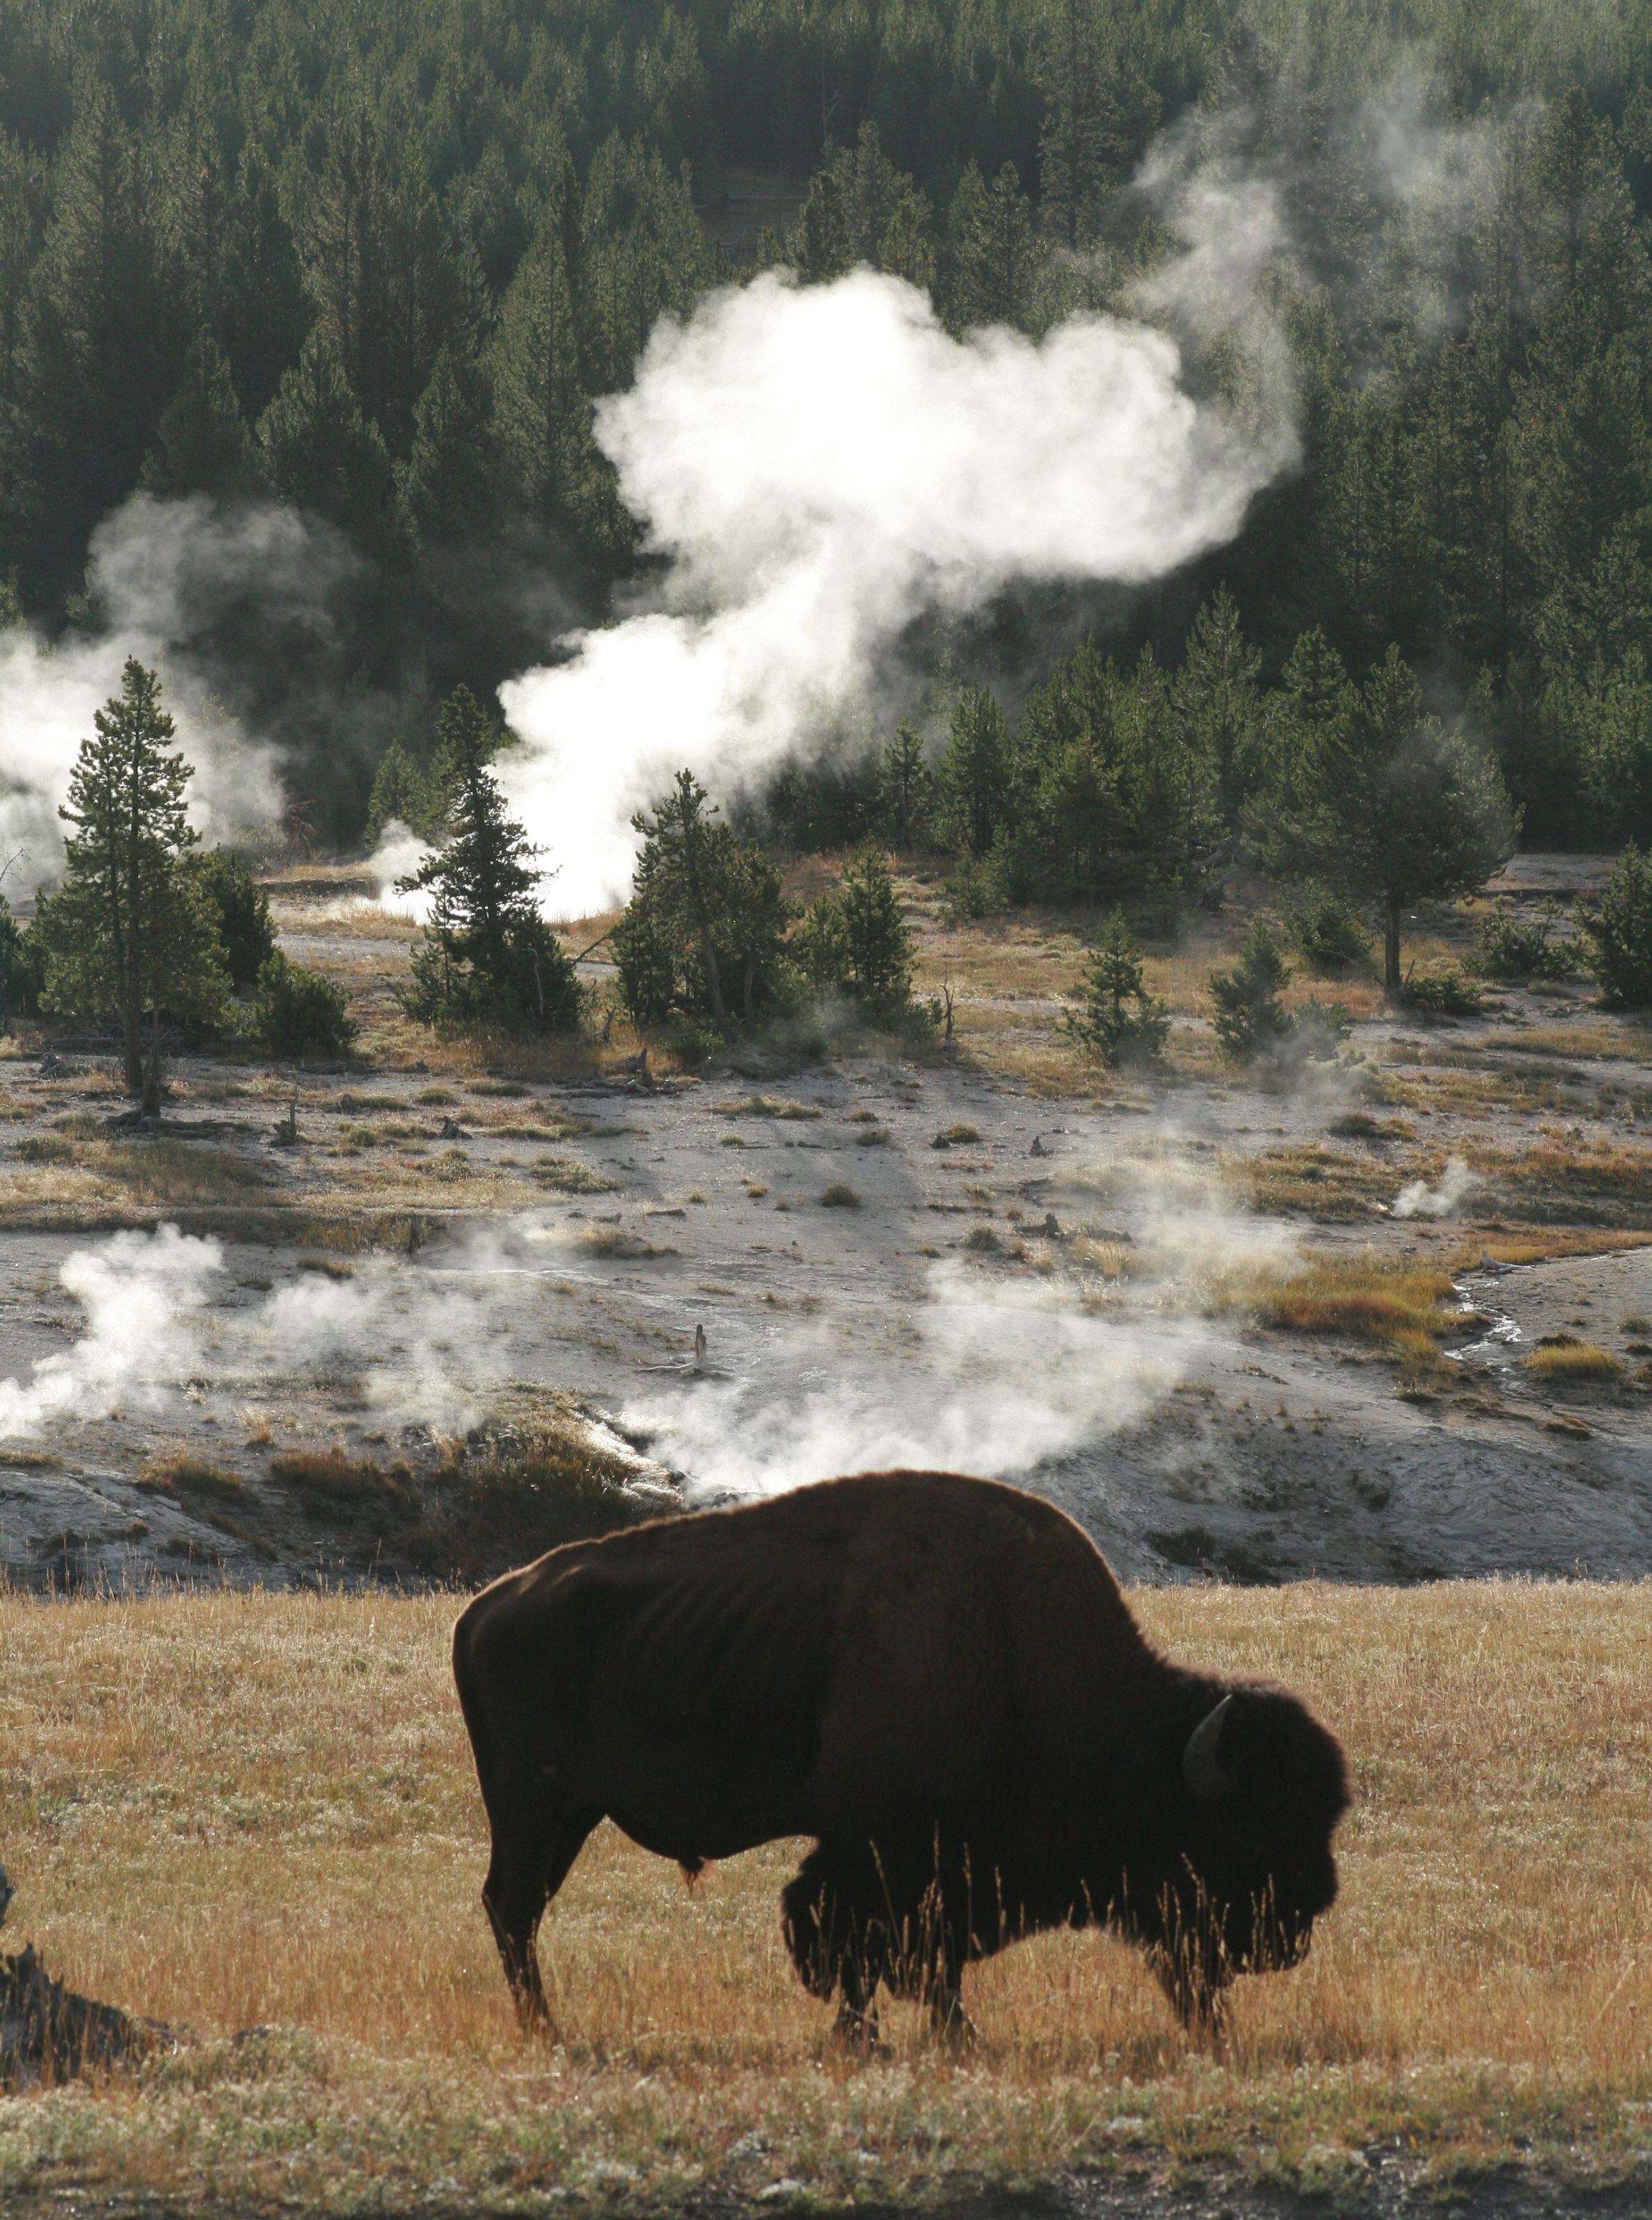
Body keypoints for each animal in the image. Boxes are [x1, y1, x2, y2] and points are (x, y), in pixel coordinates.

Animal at [448, 1474, 1340, 2042]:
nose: (1305, 1915)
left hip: (569, 1812)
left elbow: (885, 1953)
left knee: (515, 1908)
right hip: (533, 1806)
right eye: (1245, 1829)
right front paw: (900, 2039)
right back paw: (546, 2029)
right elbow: (862, 1945)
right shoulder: (882, 1849)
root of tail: (483, 1608)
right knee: (513, 1907)